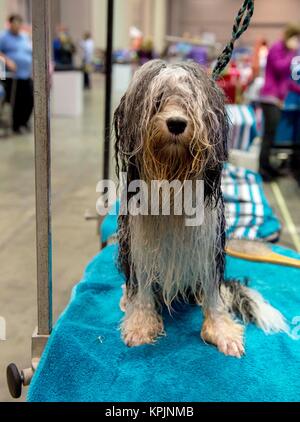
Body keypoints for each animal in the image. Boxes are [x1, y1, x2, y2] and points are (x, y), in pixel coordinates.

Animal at [113, 58, 288, 356]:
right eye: (158, 100)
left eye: (190, 102)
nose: (176, 123)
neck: (173, 181)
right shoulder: (139, 240)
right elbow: (143, 283)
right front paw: (141, 324)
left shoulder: (207, 241)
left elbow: (212, 291)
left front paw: (220, 330)